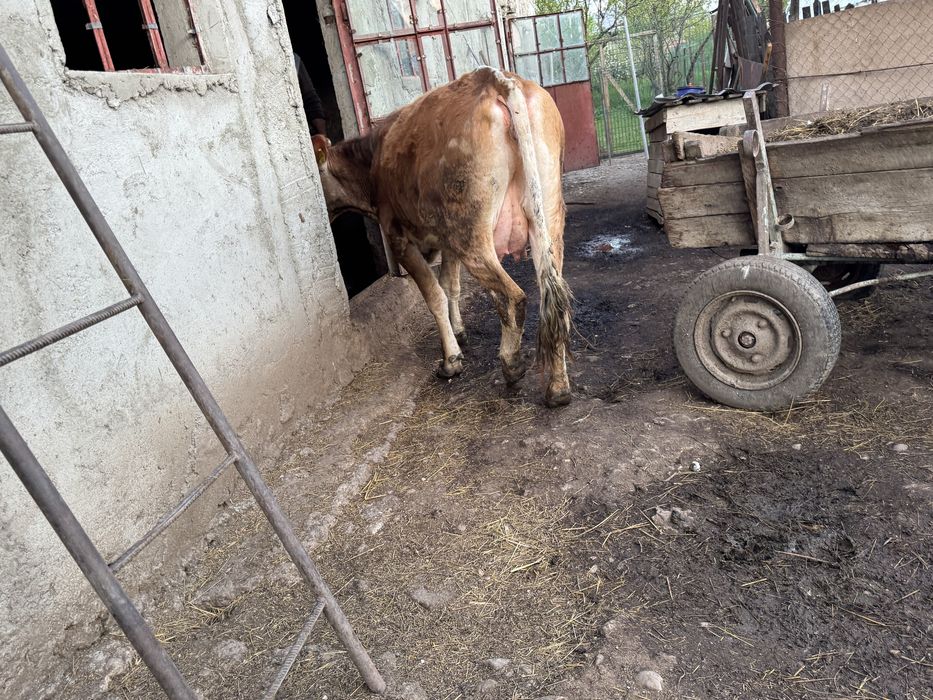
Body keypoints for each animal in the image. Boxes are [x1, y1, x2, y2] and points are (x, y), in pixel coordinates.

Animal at [312, 68, 573, 407]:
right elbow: (451, 286)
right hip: (546, 214)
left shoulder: (400, 238)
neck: (371, 167)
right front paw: (459, 330)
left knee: (514, 296)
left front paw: (451, 360)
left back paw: (512, 365)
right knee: (554, 296)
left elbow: (434, 294)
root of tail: (497, 78)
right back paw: (558, 388)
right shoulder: (446, 242)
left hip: (471, 233)